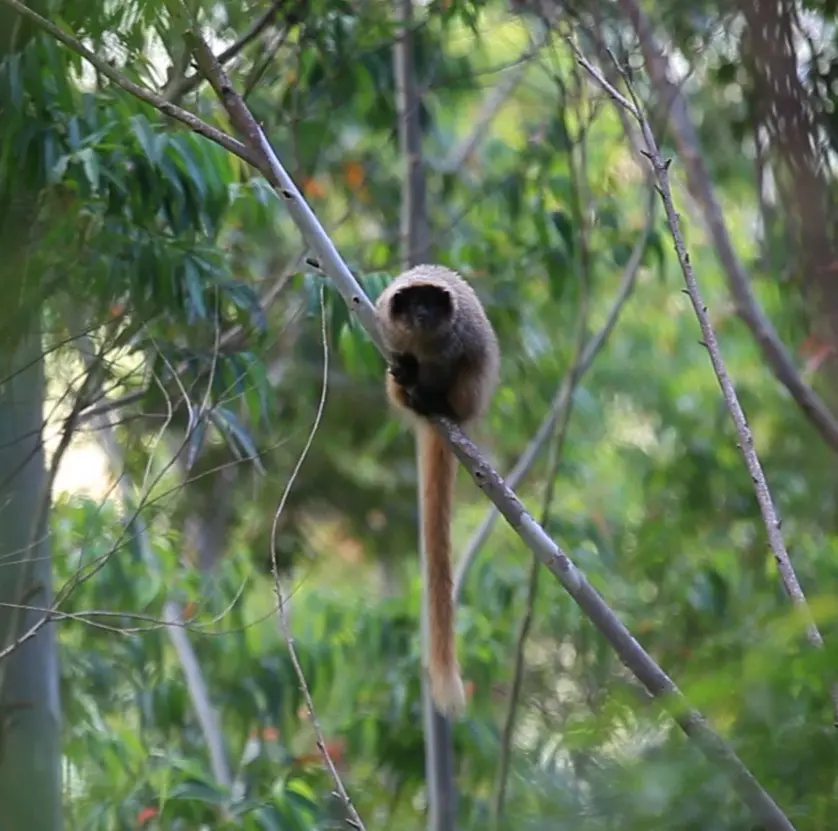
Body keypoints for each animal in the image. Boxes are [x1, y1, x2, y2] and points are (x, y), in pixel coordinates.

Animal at [375, 264, 500, 716]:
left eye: (430, 303)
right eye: (414, 303)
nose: (424, 312)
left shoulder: (454, 340)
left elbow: (455, 360)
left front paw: (427, 387)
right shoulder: (384, 326)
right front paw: (408, 375)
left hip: (470, 396)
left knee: (470, 372)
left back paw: (434, 402)